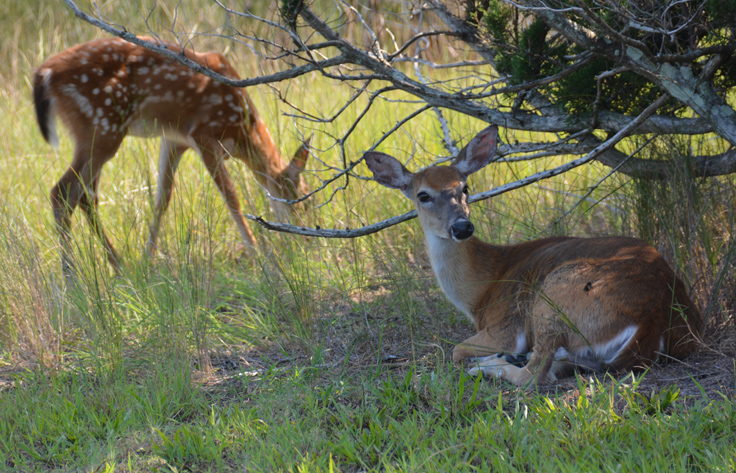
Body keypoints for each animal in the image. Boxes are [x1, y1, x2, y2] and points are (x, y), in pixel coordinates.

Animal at [33, 37, 310, 276]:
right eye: (302, 200)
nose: (306, 241)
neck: (242, 130)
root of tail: (44, 74)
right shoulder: (203, 134)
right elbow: (231, 197)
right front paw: (259, 256)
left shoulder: (174, 140)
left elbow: (162, 199)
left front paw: (148, 258)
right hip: (101, 126)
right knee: (62, 192)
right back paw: (72, 277)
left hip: (95, 133)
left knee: (85, 195)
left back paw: (118, 265)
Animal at [366, 125, 704, 384]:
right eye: (423, 195)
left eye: (465, 187)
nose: (462, 226)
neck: (482, 288)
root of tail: (652, 318)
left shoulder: (506, 326)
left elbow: (456, 350)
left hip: (553, 297)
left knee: (535, 374)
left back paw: (490, 366)